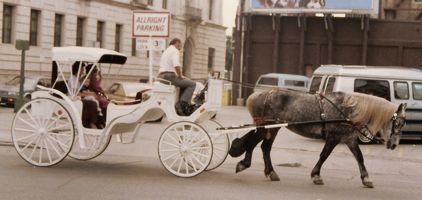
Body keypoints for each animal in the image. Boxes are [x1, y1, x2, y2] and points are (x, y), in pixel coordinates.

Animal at [229, 89, 408, 188]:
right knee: (252, 143)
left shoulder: (348, 138)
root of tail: (260, 94)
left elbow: (359, 157)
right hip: (266, 127)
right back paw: (244, 164)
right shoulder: (334, 137)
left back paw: (271, 172)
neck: (347, 111)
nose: (394, 144)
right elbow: (324, 156)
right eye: (398, 123)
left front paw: (366, 179)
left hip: (272, 129)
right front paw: (316, 175)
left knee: (264, 148)